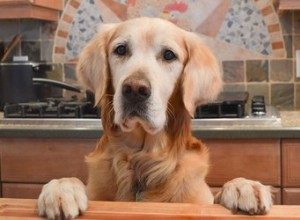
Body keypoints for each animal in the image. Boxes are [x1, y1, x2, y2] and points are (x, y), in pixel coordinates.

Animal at [37, 16, 272, 218]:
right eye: (120, 49)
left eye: (169, 55)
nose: (134, 89)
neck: (142, 160)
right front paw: (61, 188)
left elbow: (218, 193)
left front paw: (243, 186)